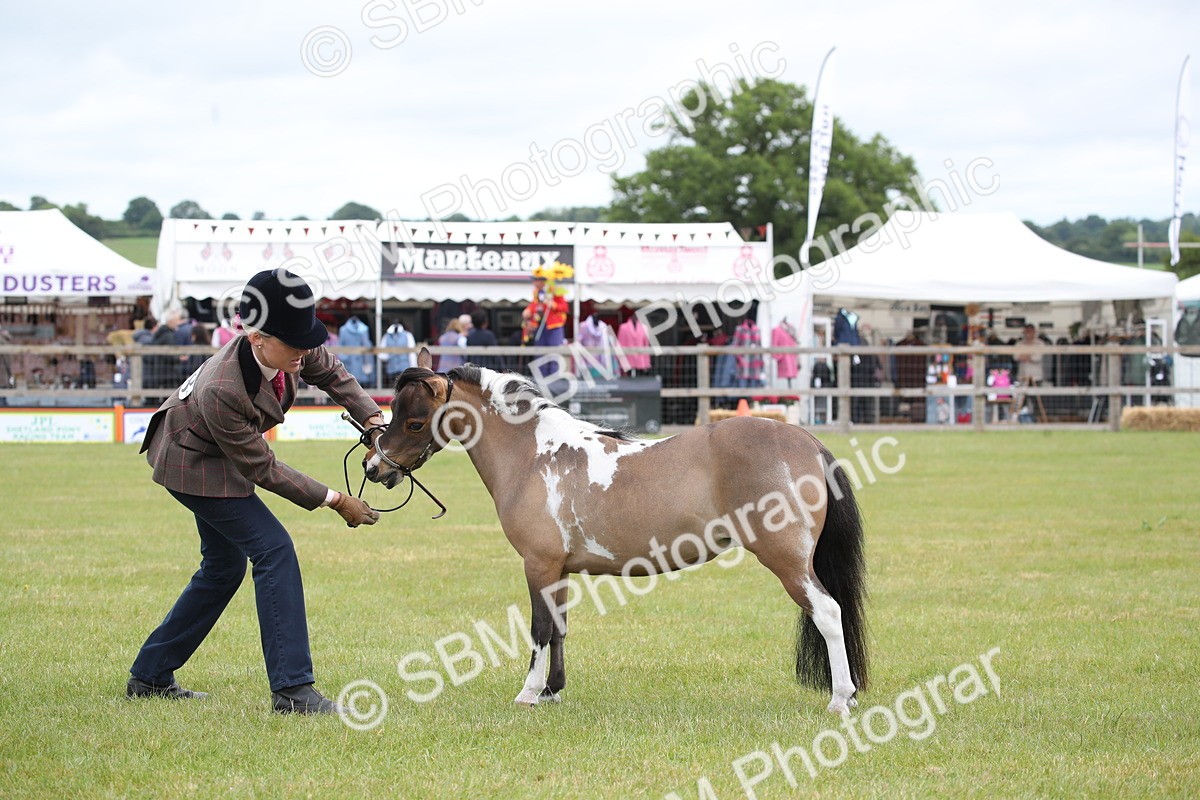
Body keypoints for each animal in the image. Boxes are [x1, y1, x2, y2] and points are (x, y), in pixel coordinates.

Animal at [363, 348, 868, 715]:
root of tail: (806, 441)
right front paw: (553, 690)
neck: (533, 454)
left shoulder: (538, 564)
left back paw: (840, 699)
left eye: (414, 421)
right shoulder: (559, 569)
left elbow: (540, 627)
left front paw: (528, 693)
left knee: (828, 612)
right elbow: (560, 627)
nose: (373, 466)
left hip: (788, 560)